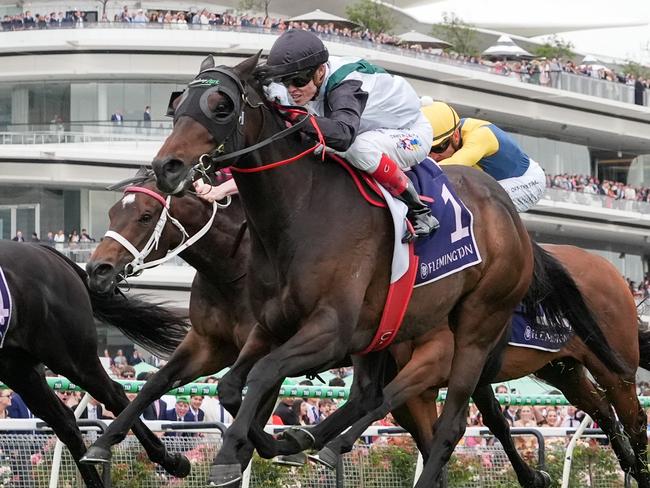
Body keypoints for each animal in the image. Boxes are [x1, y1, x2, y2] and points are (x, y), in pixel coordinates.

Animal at [0, 241, 190, 488]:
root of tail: (44, 251)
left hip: (71, 357)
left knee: (114, 395)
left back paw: (172, 460)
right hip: (18, 369)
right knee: (65, 423)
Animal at [85, 177, 644, 486]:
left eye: (146, 214)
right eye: (112, 210)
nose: (98, 270)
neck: (236, 267)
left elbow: (253, 396)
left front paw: (259, 449)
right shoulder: (209, 344)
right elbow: (158, 384)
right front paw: (109, 444)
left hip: (605, 361)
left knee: (626, 412)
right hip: (562, 367)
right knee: (590, 411)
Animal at [149, 51, 624, 486]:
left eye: (221, 105)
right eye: (178, 103)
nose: (165, 167)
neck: (301, 211)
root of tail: (511, 217)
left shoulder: (330, 332)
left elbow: (264, 373)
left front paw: (234, 452)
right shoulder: (271, 325)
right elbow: (232, 386)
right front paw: (279, 441)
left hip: (478, 327)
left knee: (452, 424)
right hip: (390, 332)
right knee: (370, 396)